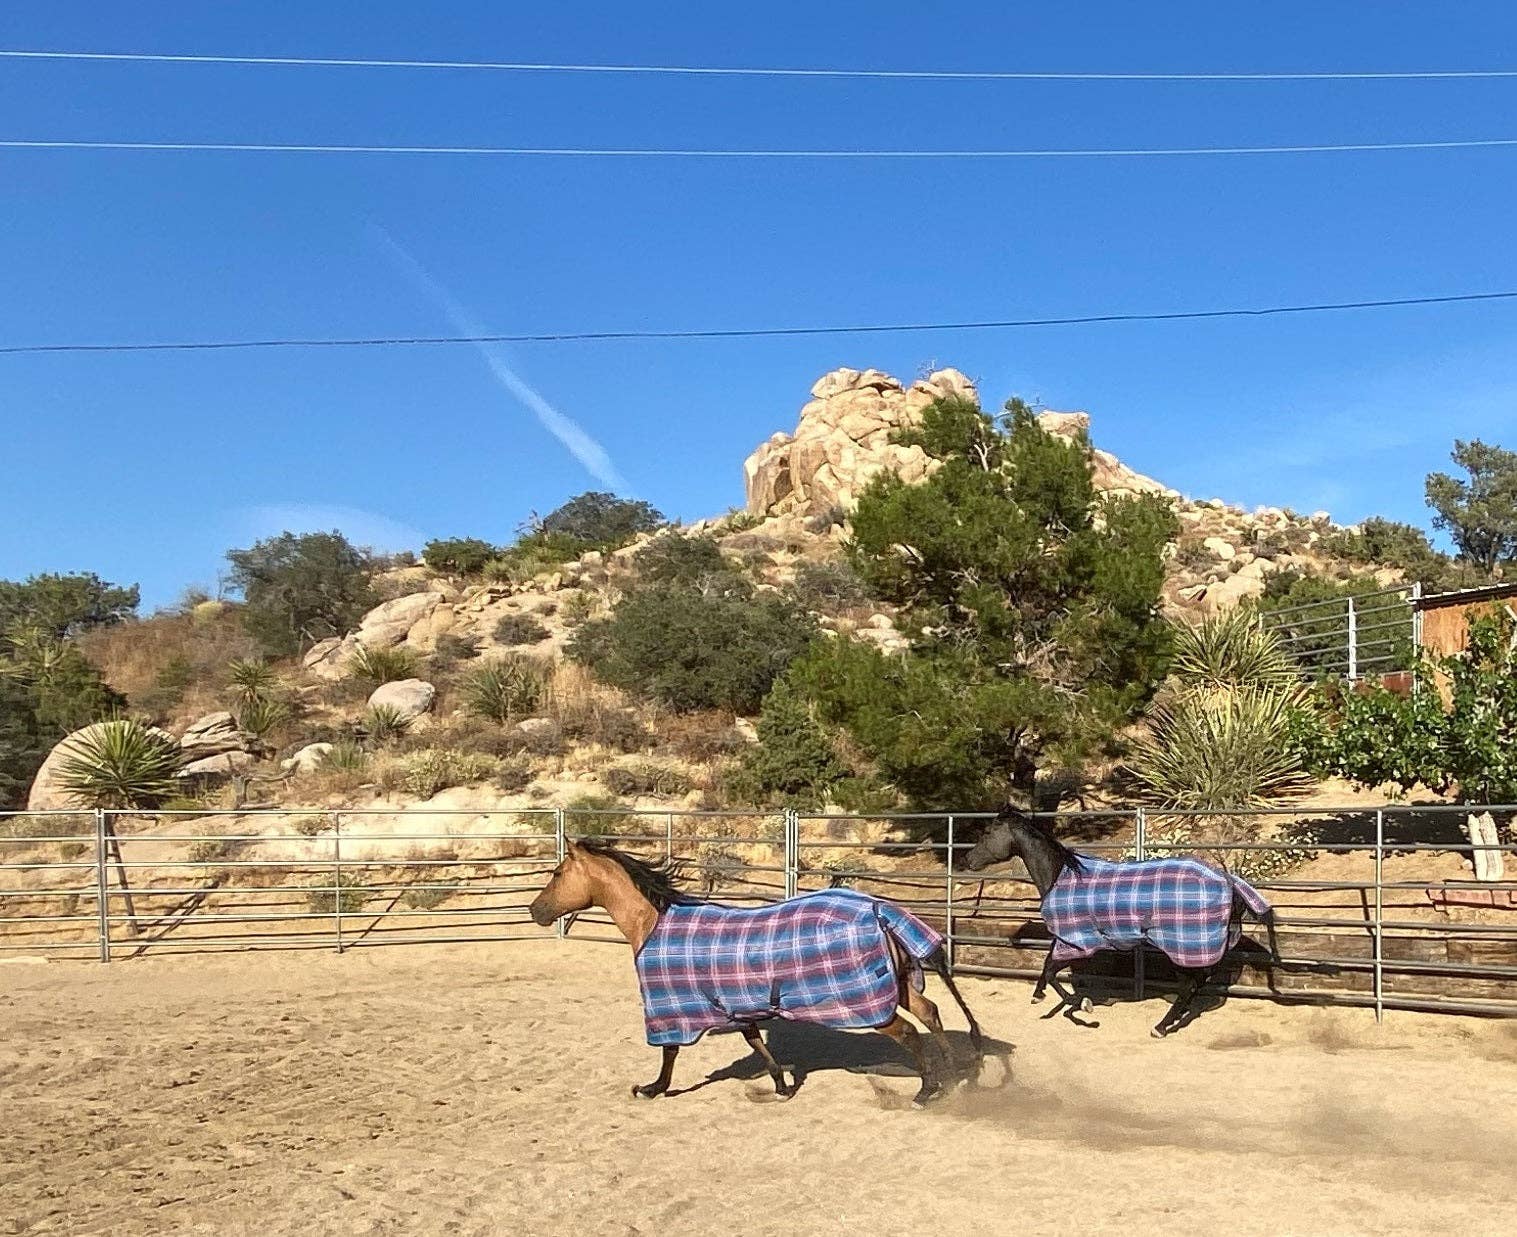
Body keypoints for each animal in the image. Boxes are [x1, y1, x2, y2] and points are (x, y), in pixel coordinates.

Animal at [529, 838, 986, 1106]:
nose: (535, 911)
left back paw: (926, 1090)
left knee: (909, 1031)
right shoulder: (734, 1003)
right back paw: (952, 1074)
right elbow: (754, 1040)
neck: (653, 923)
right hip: (896, 986)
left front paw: (651, 1089)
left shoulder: (673, 1007)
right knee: (930, 1013)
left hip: (871, 1003)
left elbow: (669, 1050)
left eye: (557, 873)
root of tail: (879, 909)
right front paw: (781, 1086)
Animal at [962, 807, 1279, 1038]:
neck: (1061, 875)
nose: (968, 860)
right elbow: (1047, 967)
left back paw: (1161, 1027)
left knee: (1191, 985)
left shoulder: (1078, 941)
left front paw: (1082, 1005)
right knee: (1195, 984)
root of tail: (1228, 880)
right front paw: (1039, 995)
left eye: (988, 832)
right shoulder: (1066, 939)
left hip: (1182, 948)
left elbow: (1053, 972)